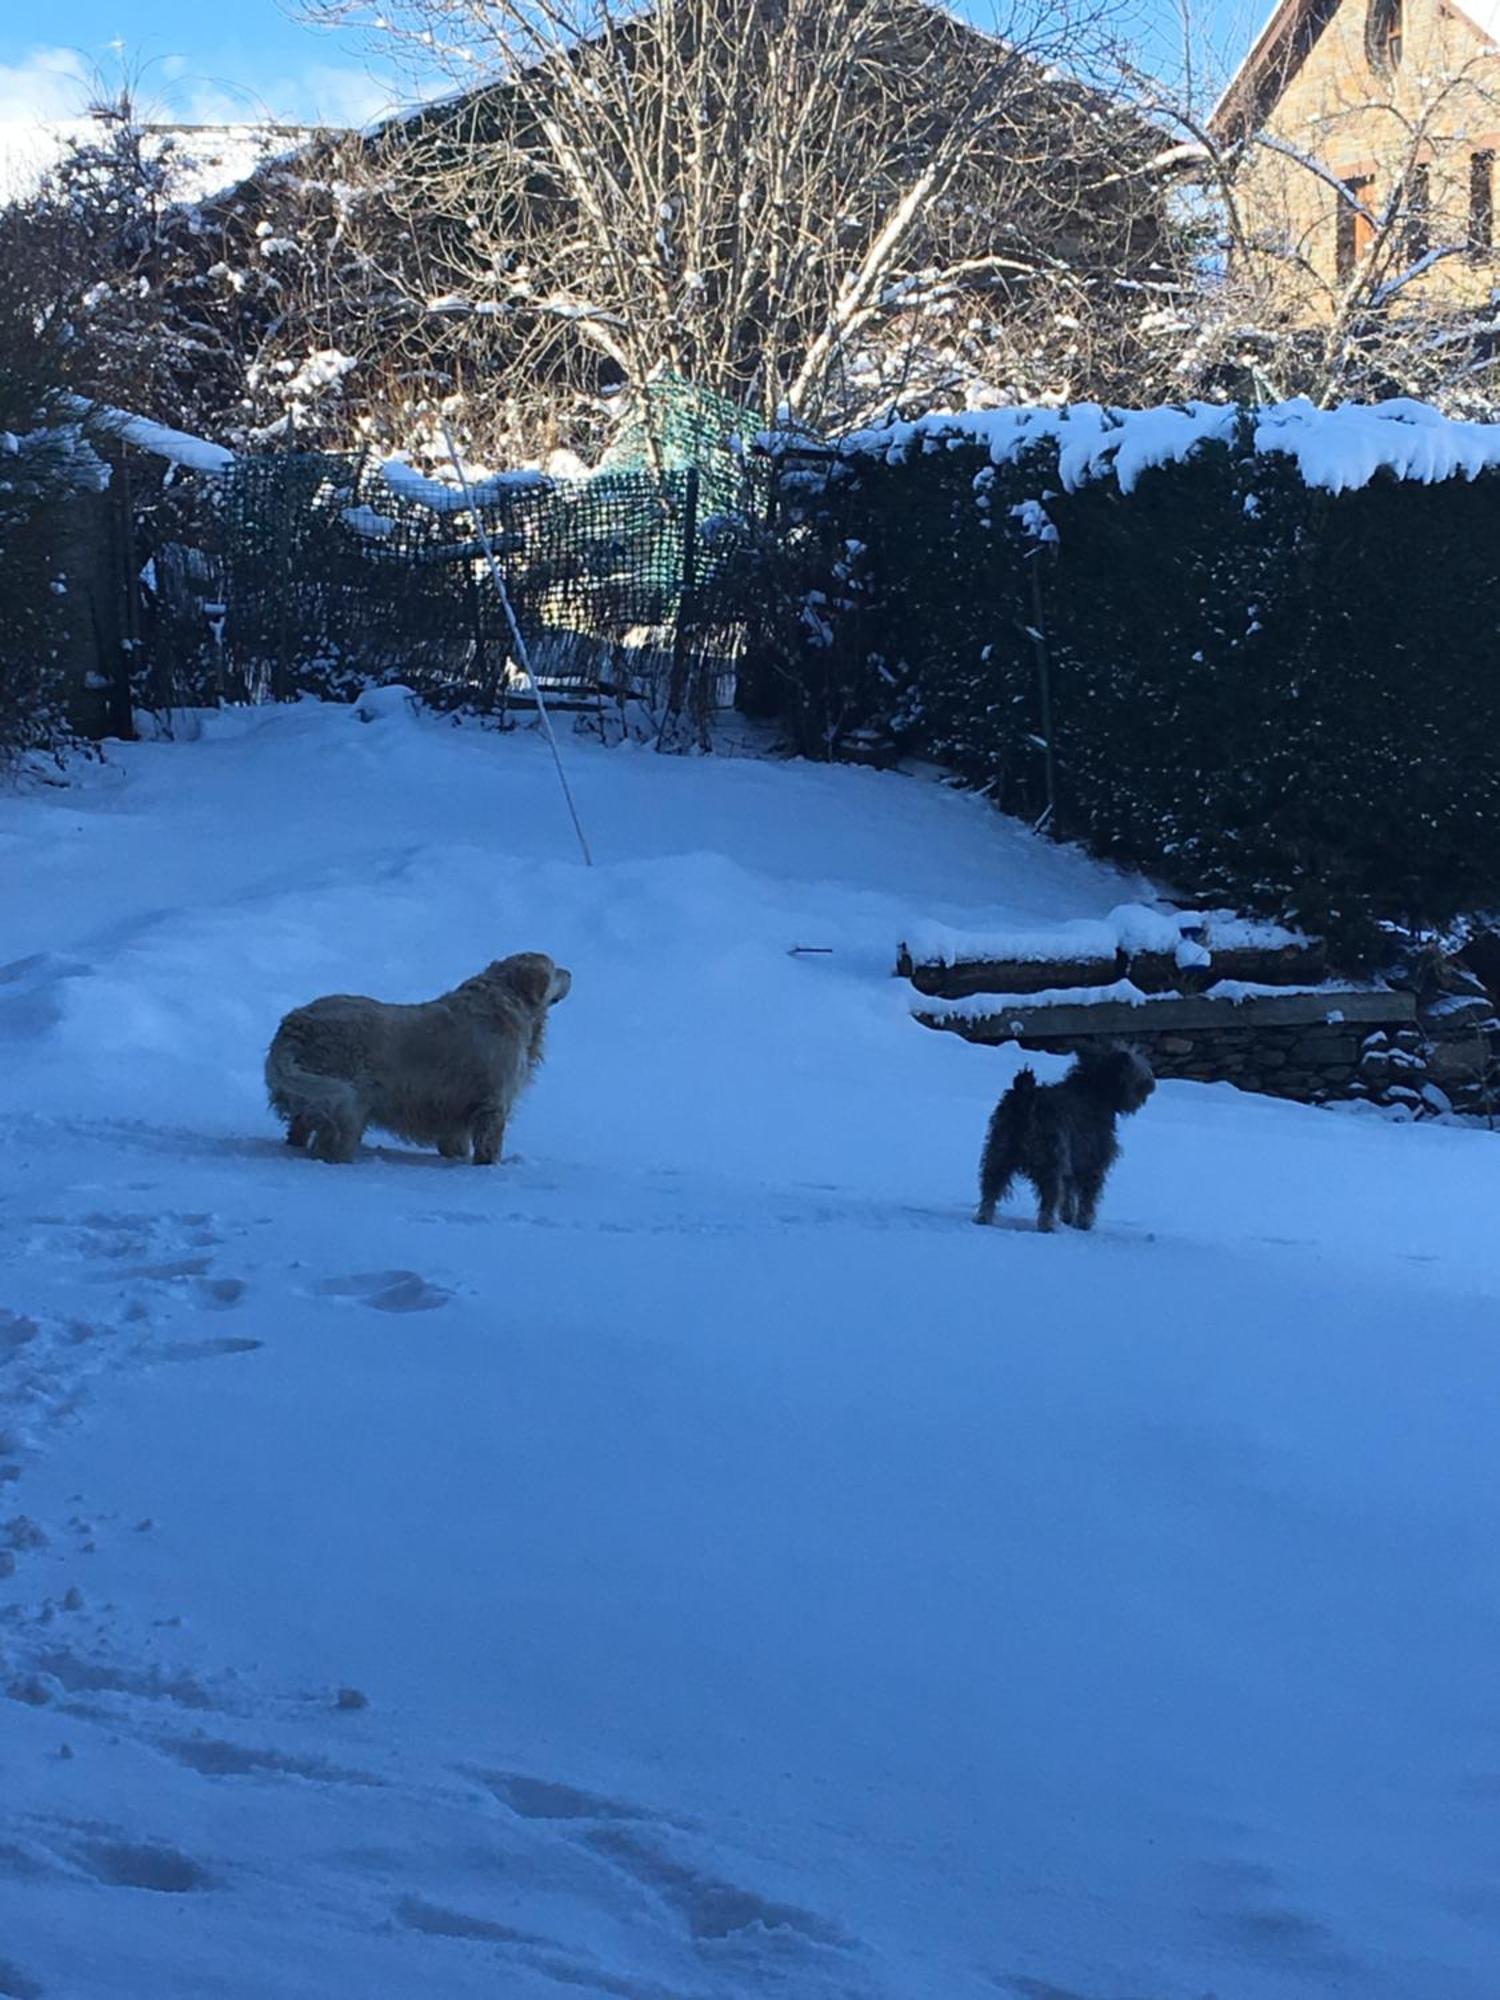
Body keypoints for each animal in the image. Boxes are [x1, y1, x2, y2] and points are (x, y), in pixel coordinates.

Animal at [980, 1048, 1160, 1232]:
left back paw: (983, 1218)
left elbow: (1068, 1195)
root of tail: (1027, 1096)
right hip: (1050, 1162)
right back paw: (1047, 1226)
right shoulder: (1093, 1163)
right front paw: (1083, 1224)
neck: (1098, 1090)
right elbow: (1087, 1199)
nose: (1151, 1082)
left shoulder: (1074, 1164)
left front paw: (1068, 1218)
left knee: (990, 1191)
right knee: (1048, 1200)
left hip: (1000, 1155)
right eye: (1138, 1067)